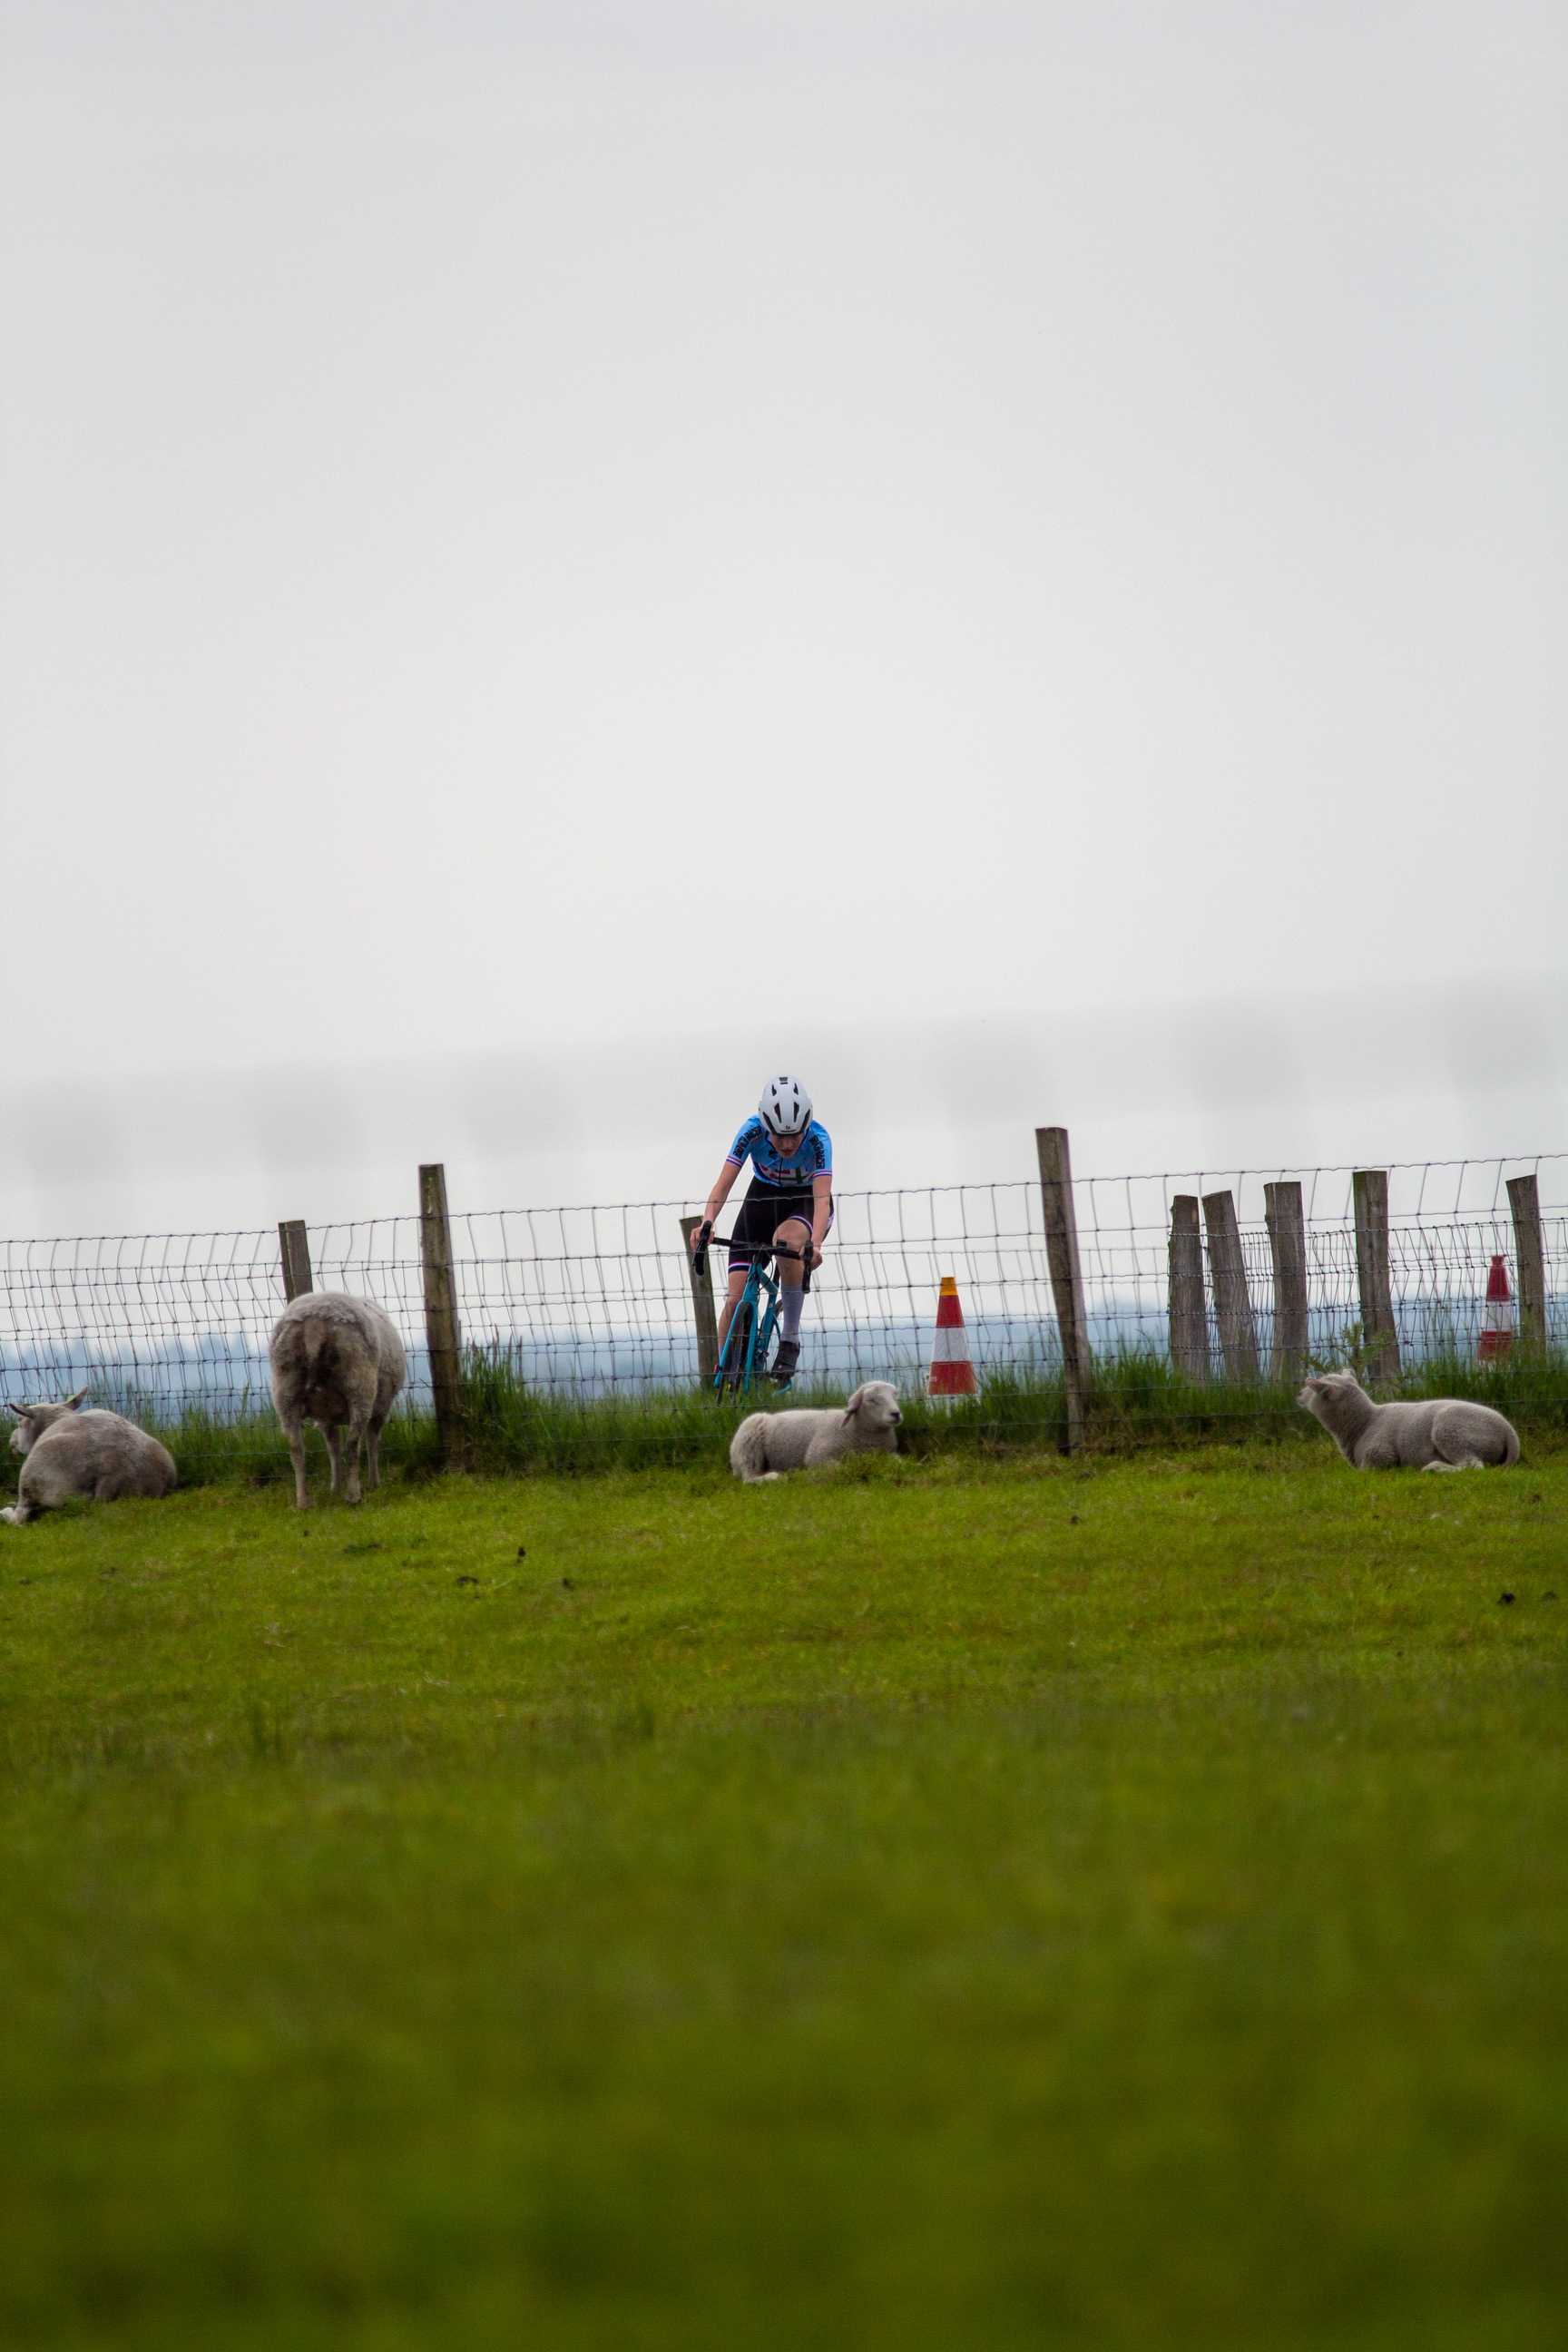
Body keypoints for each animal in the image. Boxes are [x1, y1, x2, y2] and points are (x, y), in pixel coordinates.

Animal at [1, 1392, 176, 1524]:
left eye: (19, 1420)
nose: (11, 1441)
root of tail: (114, 1476)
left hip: (33, 1480)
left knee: (19, 1517)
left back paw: (5, 1512)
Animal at [272, 1289, 413, 1504]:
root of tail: (314, 1324)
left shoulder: (325, 1417)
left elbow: (333, 1446)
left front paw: (335, 1486)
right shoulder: (381, 1408)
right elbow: (372, 1442)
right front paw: (374, 1483)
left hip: (285, 1390)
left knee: (296, 1448)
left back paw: (304, 1501)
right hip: (359, 1383)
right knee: (353, 1444)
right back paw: (353, 1495)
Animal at [729, 1373, 902, 1486]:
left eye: (895, 1396)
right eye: (871, 1400)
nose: (896, 1414)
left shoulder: (887, 1453)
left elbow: (898, 1461)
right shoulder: (818, 1455)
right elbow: (839, 1467)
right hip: (748, 1448)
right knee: (748, 1477)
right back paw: (774, 1477)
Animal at [1298, 1364, 1523, 1467]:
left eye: (1318, 1389)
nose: (1299, 1395)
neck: (1363, 1423)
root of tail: (1508, 1430)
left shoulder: (1379, 1456)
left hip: (1451, 1429)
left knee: (1472, 1465)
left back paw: (1434, 1468)